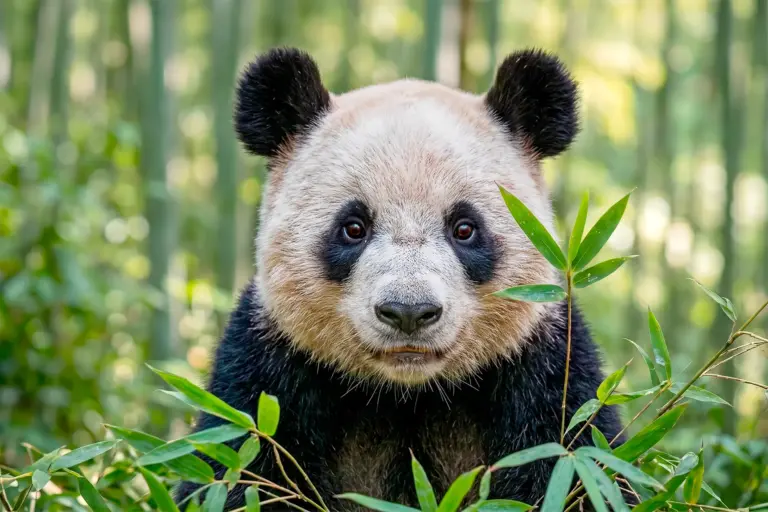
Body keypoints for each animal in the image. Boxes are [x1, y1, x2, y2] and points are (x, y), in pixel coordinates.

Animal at [175, 47, 624, 510]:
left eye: (465, 228)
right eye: (353, 227)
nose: (409, 312)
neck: (407, 393)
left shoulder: (545, 371)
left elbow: (577, 464)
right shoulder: (269, 368)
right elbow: (237, 470)